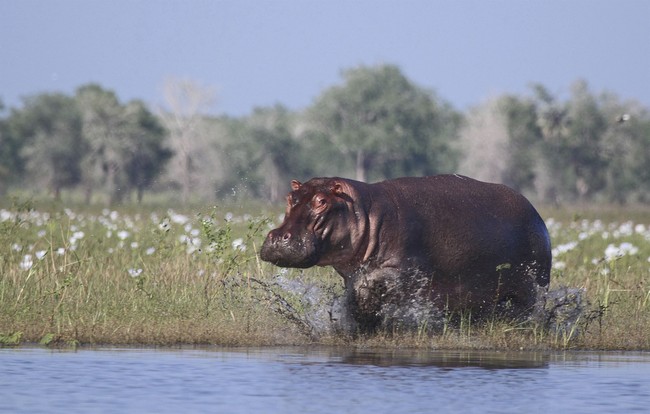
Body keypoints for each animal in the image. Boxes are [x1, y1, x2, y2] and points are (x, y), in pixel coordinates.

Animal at [260, 175, 551, 333]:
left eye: (322, 201)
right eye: (289, 198)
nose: (277, 237)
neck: (364, 210)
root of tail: (535, 211)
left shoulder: (403, 272)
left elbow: (372, 287)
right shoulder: (350, 273)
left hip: (532, 286)